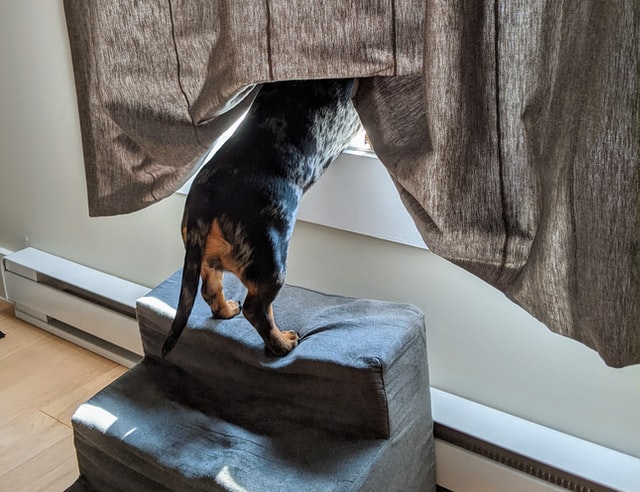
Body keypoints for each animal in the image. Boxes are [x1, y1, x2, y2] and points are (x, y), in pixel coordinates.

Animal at [161, 80, 360, 358]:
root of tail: (206, 204)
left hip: (207, 260)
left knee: (210, 290)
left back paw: (227, 310)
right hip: (271, 266)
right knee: (255, 310)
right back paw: (283, 343)